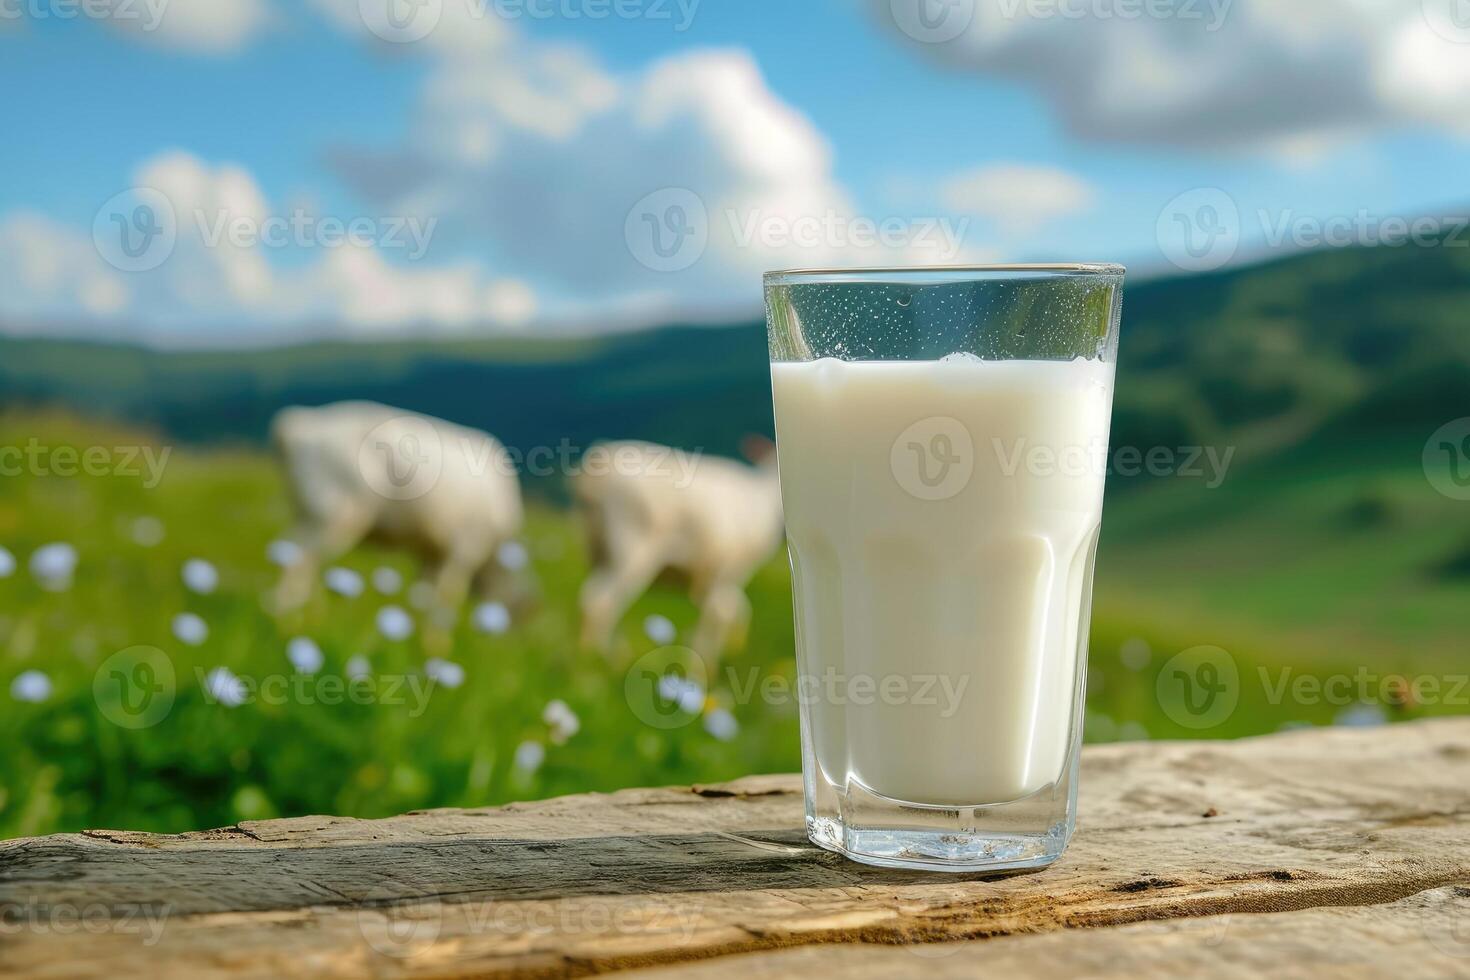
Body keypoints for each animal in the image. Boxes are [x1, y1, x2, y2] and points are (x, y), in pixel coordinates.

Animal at [273, 399, 532, 620]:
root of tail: (300, 425)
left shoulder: (432, 554)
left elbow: (423, 594)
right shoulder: (464, 550)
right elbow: (446, 596)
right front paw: (435, 640)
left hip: (307, 512)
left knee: (293, 555)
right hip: (333, 516)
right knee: (298, 561)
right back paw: (289, 614)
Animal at [573, 443, 787, 658]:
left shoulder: (713, 575)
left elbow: (735, 609)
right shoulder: (731, 570)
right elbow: (722, 612)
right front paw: (704, 659)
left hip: (598, 551)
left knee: (591, 597)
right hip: (632, 553)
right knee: (599, 600)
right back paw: (599, 657)